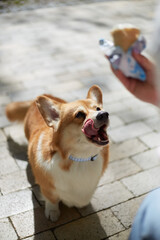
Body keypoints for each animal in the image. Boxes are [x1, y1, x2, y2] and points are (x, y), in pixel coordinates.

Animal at [5, 85, 109, 222]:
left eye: (98, 108)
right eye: (79, 114)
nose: (104, 114)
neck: (80, 157)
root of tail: (34, 100)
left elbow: (82, 199)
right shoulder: (47, 187)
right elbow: (52, 199)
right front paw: (52, 212)